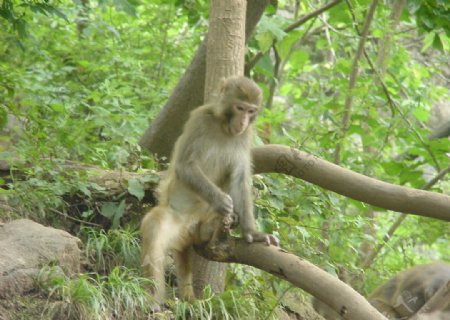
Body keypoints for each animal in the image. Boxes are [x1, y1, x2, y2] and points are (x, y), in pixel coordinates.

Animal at [142, 75, 282, 308]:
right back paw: (153, 300)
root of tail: (189, 230)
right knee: (154, 228)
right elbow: (186, 165)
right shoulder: (199, 120)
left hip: (200, 227)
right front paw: (220, 201)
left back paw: (217, 225)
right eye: (239, 108)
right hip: (175, 220)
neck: (223, 126)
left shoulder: (245, 137)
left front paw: (253, 233)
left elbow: (239, 179)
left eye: (251, 111)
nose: (243, 122)